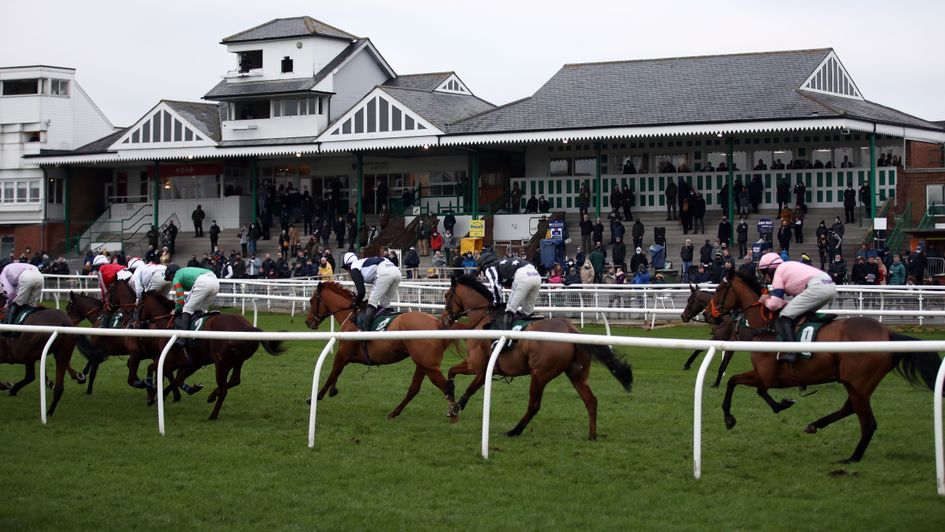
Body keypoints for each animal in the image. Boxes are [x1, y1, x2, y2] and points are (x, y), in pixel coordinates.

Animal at [136, 290, 284, 420]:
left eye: (137, 306)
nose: (136, 323)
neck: (169, 325)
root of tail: (248, 328)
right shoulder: (191, 364)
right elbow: (176, 380)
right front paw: (165, 394)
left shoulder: (171, 361)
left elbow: (152, 368)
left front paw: (151, 395)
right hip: (237, 361)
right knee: (234, 381)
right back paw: (212, 396)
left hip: (221, 362)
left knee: (224, 388)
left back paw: (213, 415)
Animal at [304, 280, 456, 418]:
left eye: (311, 301)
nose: (307, 322)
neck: (352, 317)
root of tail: (437, 323)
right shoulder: (344, 356)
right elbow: (336, 373)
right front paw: (332, 390)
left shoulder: (342, 355)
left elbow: (331, 374)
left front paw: (315, 397)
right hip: (422, 364)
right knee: (415, 388)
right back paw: (395, 412)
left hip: (429, 366)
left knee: (446, 387)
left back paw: (453, 412)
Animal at [438, 274, 632, 440]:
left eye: (447, 295)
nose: (444, 318)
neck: (482, 319)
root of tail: (571, 329)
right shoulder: (486, 367)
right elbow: (471, 388)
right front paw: (456, 408)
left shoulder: (474, 364)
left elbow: (451, 371)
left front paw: (449, 394)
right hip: (576, 374)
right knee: (591, 401)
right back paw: (592, 436)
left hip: (540, 374)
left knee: (534, 405)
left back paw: (514, 430)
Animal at [712, 272, 940, 464]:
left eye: (719, 289)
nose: (709, 314)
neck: (765, 328)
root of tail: (888, 334)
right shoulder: (766, 377)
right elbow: (743, 385)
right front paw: (779, 405)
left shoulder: (766, 376)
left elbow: (737, 382)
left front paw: (730, 418)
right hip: (856, 383)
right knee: (850, 408)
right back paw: (815, 425)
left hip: (858, 382)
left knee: (868, 422)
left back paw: (852, 458)